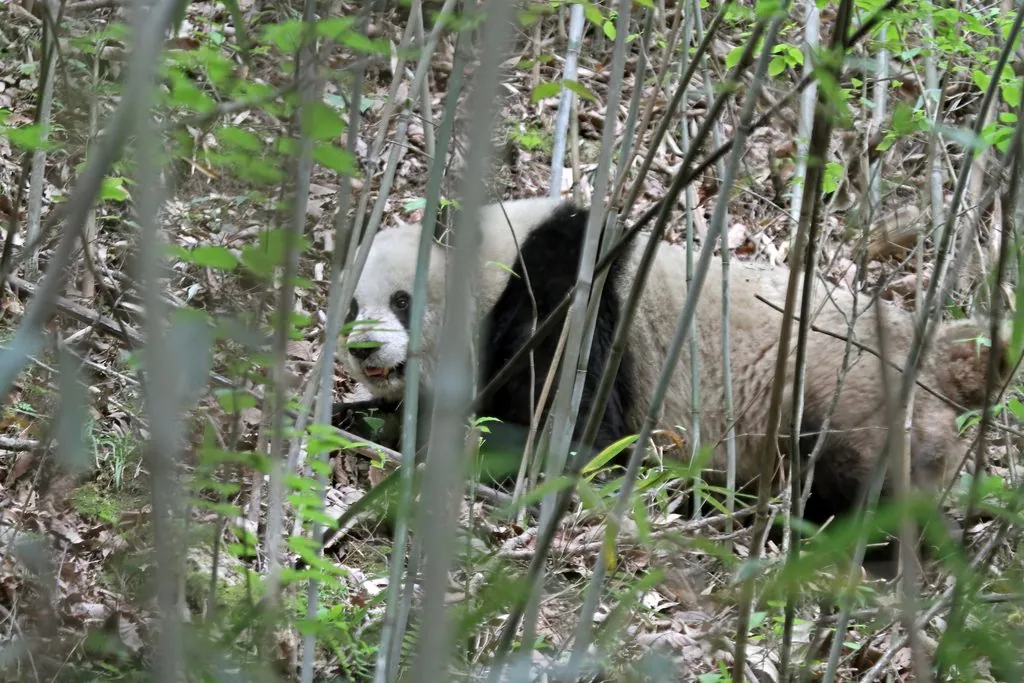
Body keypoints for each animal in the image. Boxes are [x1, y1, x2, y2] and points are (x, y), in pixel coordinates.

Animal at [333, 195, 1011, 541]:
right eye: (352, 307)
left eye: (402, 300)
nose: (364, 351)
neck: (492, 264)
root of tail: (940, 360)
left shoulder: (566, 298)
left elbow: (579, 441)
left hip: (849, 391)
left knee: (865, 477)